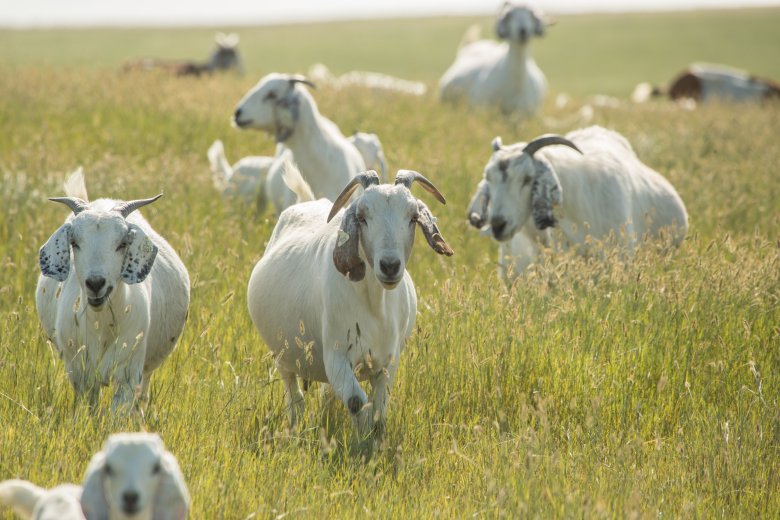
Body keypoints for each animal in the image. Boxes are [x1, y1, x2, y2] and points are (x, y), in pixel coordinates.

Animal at [36, 168, 190, 411]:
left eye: (122, 244)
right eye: (74, 243)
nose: (96, 283)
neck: (102, 326)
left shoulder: (128, 373)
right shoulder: (81, 374)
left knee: (142, 397)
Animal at [247, 170, 453, 441]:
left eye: (413, 217)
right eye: (362, 217)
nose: (389, 265)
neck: (375, 306)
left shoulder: (389, 362)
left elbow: (379, 411)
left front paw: (374, 441)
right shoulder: (337, 357)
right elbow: (356, 402)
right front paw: (361, 440)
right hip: (283, 357)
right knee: (295, 397)